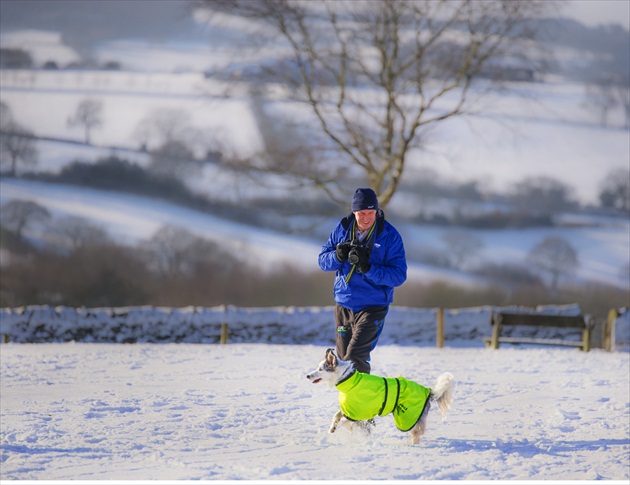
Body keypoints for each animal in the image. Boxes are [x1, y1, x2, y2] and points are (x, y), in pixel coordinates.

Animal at [306, 346, 454, 444]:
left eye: (320, 369)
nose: (307, 375)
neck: (347, 379)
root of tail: (428, 391)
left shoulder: (357, 412)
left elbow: (346, 423)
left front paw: (350, 430)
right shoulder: (349, 410)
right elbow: (336, 416)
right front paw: (332, 428)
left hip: (408, 416)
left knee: (418, 431)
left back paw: (414, 445)